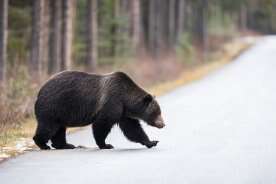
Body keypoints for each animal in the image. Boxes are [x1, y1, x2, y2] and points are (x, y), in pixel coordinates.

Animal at [33, 70, 165, 150]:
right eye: (156, 112)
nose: (163, 124)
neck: (126, 100)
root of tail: (39, 91)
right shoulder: (112, 102)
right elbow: (102, 124)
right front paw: (106, 145)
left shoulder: (123, 112)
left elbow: (133, 129)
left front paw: (151, 142)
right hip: (54, 106)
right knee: (48, 127)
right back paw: (43, 144)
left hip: (61, 112)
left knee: (59, 129)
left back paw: (65, 145)